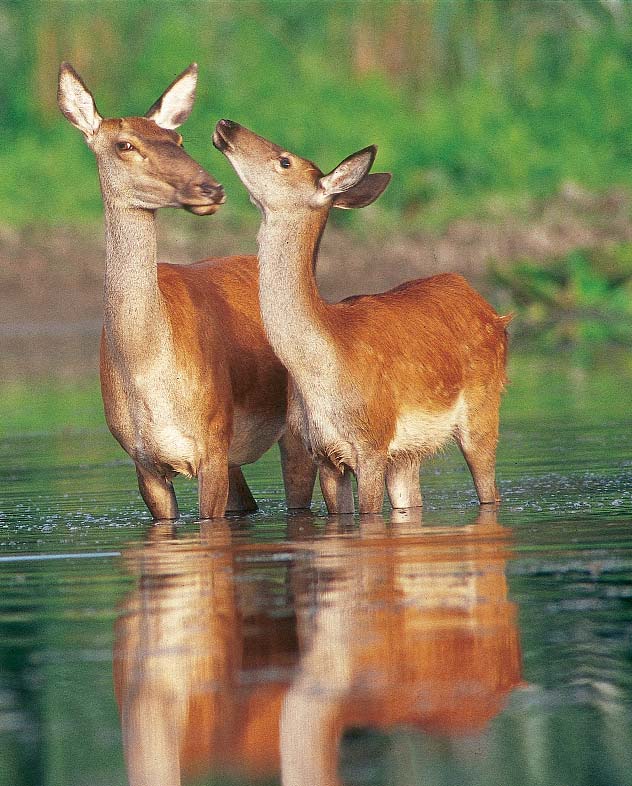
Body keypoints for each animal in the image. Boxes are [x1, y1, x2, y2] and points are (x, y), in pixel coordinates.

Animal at [57, 64, 316, 516]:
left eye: (178, 140)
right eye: (125, 144)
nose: (211, 188)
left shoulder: (211, 442)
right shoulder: (142, 462)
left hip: (294, 430)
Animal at [215, 119, 512, 516]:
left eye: (285, 161)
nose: (226, 126)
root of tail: (492, 312)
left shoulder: (371, 444)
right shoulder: (324, 455)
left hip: (482, 409)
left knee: (489, 489)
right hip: (407, 454)